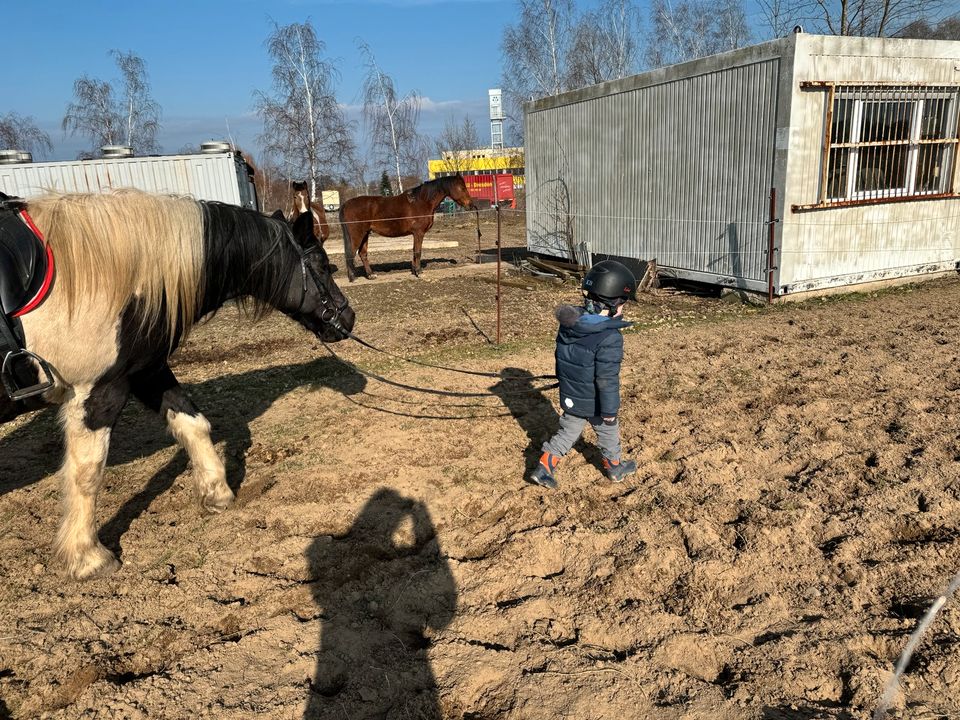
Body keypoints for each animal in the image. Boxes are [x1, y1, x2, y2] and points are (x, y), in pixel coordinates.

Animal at [0, 190, 352, 580]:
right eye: (322, 265)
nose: (348, 318)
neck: (107, 276)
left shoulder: (146, 372)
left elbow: (193, 422)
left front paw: (217, 492)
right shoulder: (100, 391)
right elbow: (87, 471)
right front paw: (87, 556)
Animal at [340, 174, 474, 282]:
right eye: (462, 188)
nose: (471, 205)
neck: (422, 201)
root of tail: (346, 204)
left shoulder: (415, 234)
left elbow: (414, 250)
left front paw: (414, 270)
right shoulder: (419, 233)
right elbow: (418, 251)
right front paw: (419, 272)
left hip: (365, 234)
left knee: (363, 254)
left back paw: (370, 275)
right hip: (357, 234)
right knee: (351, 253)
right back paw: (353, 278)